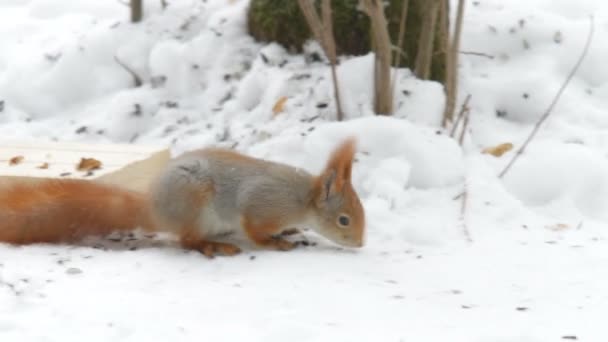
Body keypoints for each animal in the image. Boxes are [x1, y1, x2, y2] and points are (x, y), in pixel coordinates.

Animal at [0, 138, 366, 256]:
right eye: (343, 219)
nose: (360, 243)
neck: (301, 200)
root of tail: (155, 209)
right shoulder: (262, 204)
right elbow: (254, 230)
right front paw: (276, 242)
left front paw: (290, 231)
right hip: (194, 203)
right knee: (187, 241)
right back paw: (213, 246)